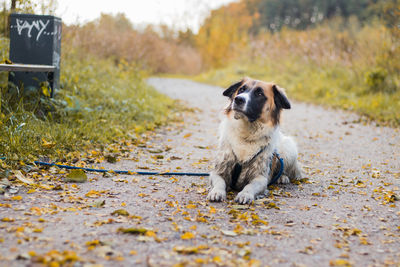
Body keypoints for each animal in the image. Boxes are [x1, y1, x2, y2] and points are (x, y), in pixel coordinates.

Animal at [208, 77, 302, 205]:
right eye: (241, 90)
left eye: (259, 94)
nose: (238, 99)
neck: (247, 134)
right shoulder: (219, 170)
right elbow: (219, 182)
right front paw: (216, 191)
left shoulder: (260, 177)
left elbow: (250, 186)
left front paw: (245, 194)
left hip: (288, 149)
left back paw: (282, 177)